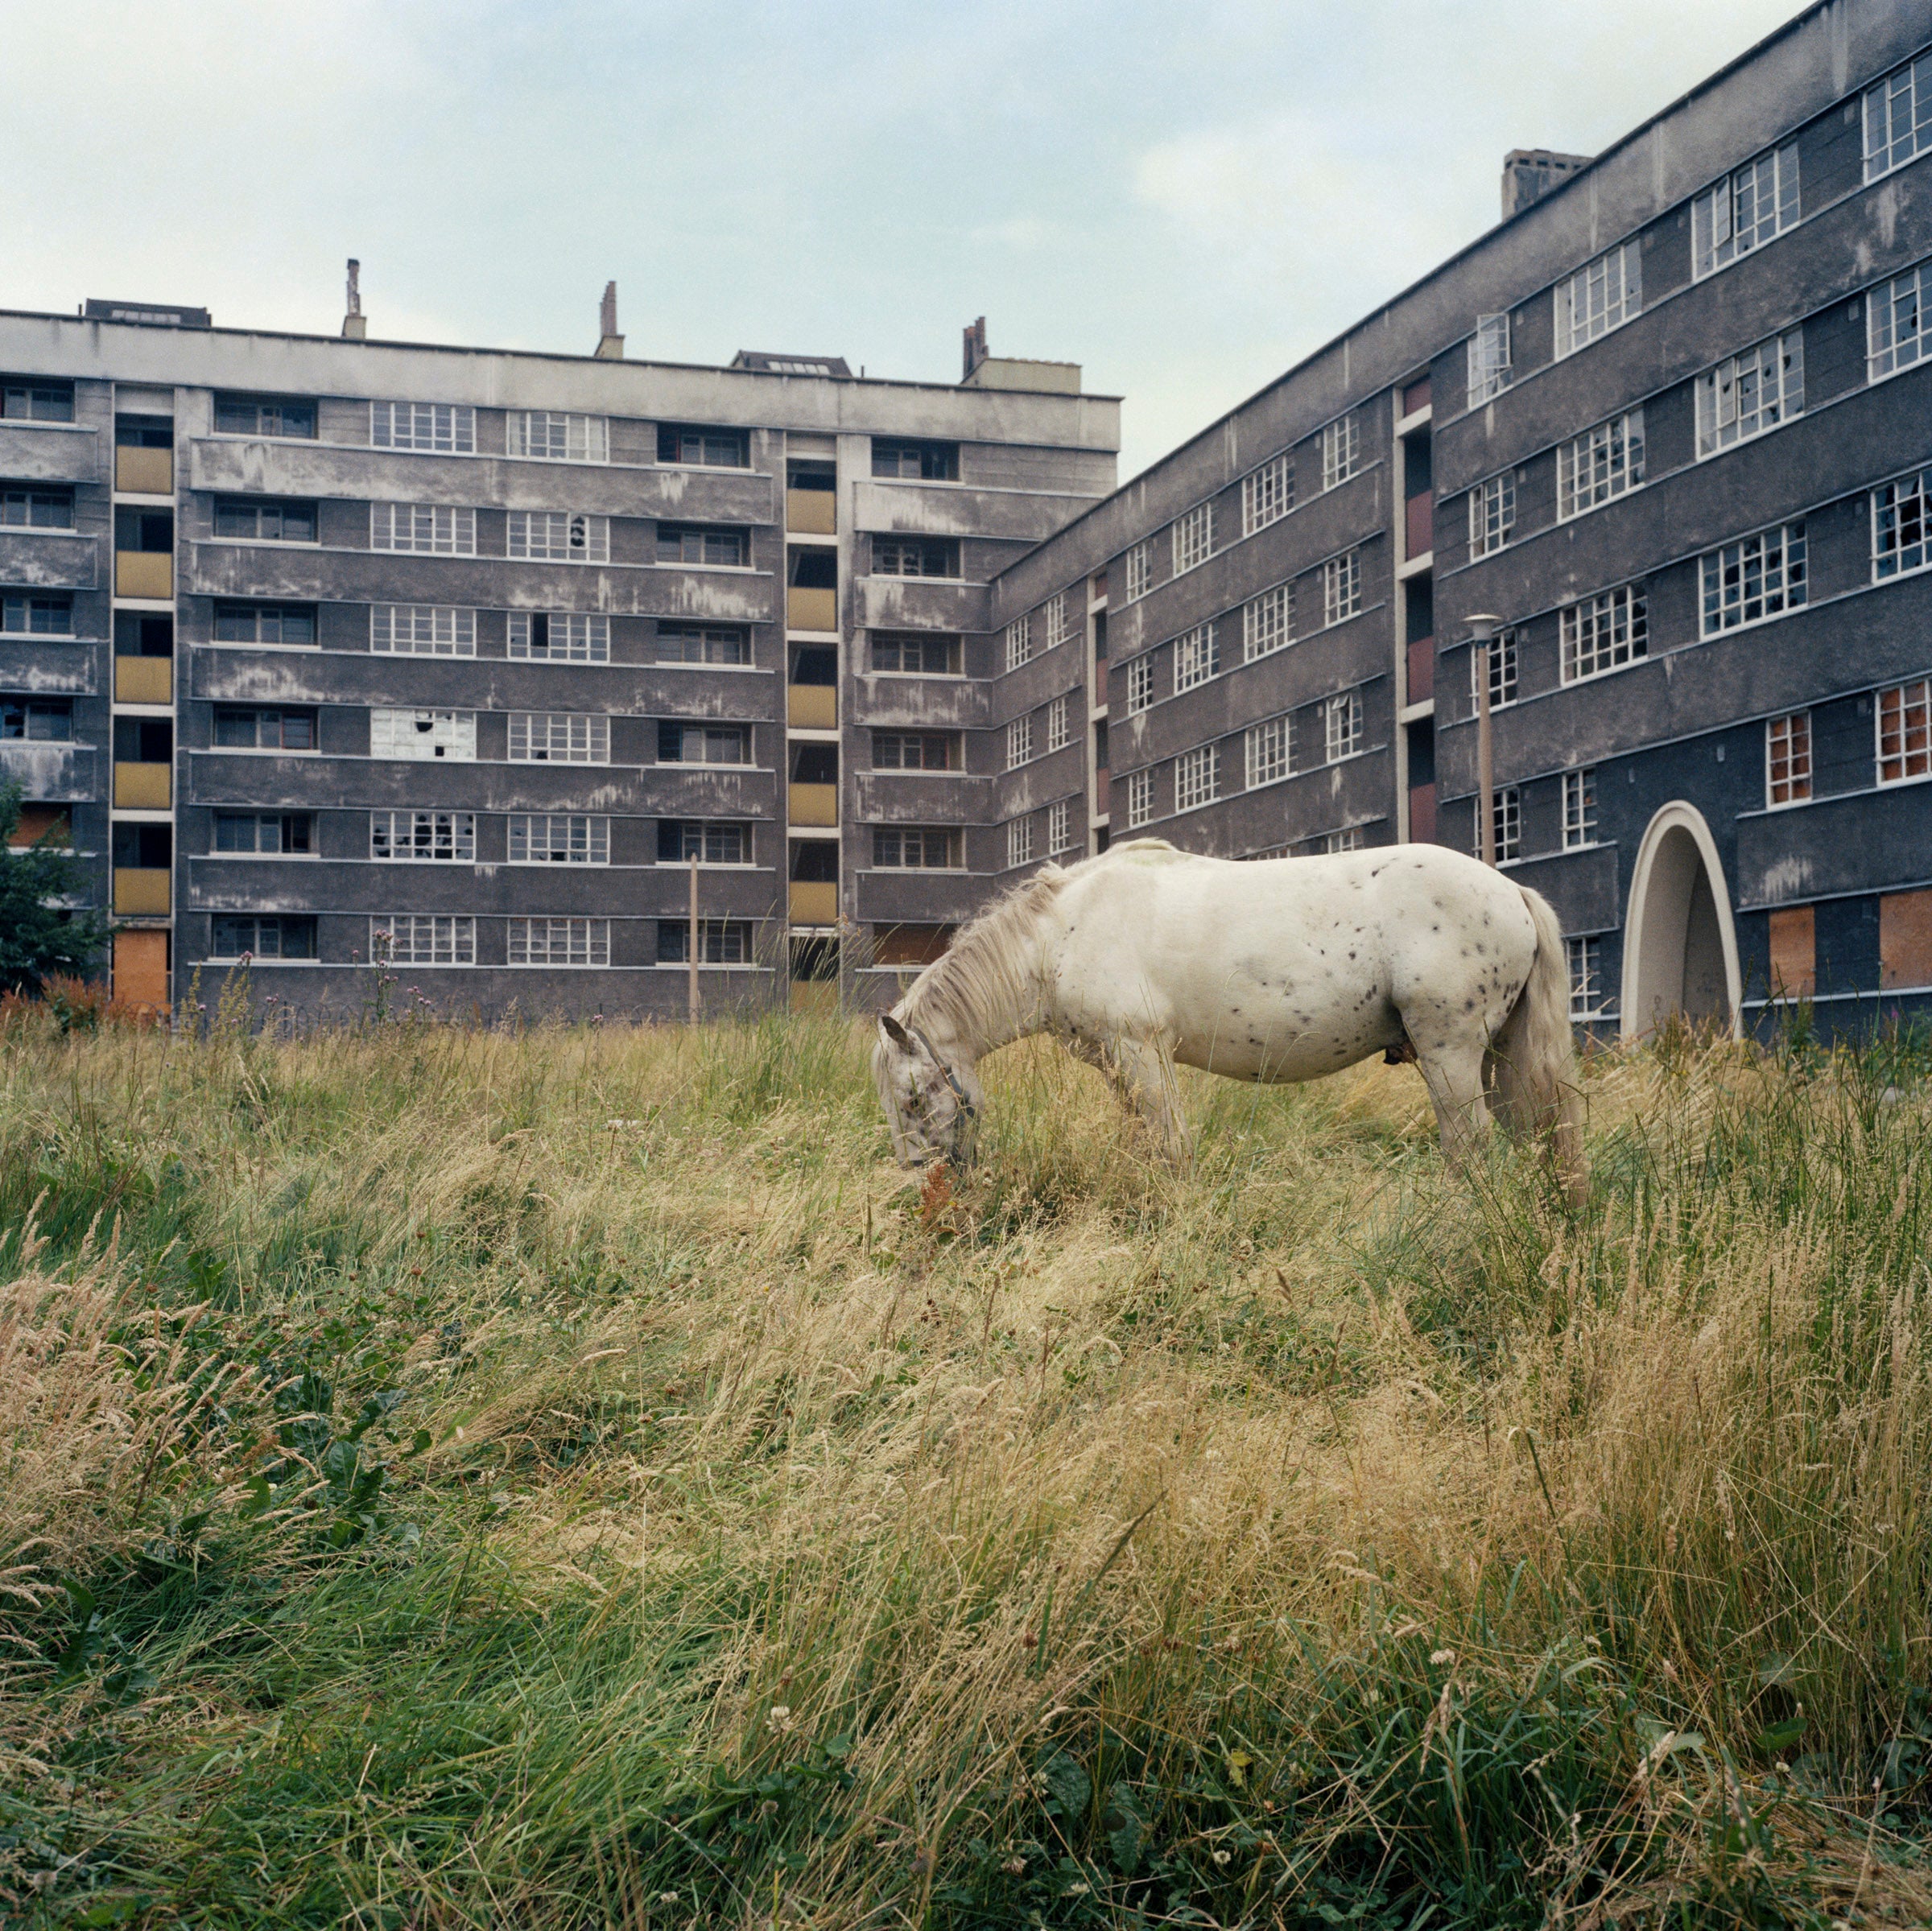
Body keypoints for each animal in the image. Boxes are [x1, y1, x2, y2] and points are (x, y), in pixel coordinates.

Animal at [877, 838, 1584, 1182]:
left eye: (913, 1098)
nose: (922, 1184)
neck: (1058, 935)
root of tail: (1512, 892)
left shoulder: (1142, 1052)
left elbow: (1172, 1146)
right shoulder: (1119, 1065)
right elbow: (1147, 1144)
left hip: (1451, 1054)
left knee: (1469, 1149)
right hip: (1493, 1057)